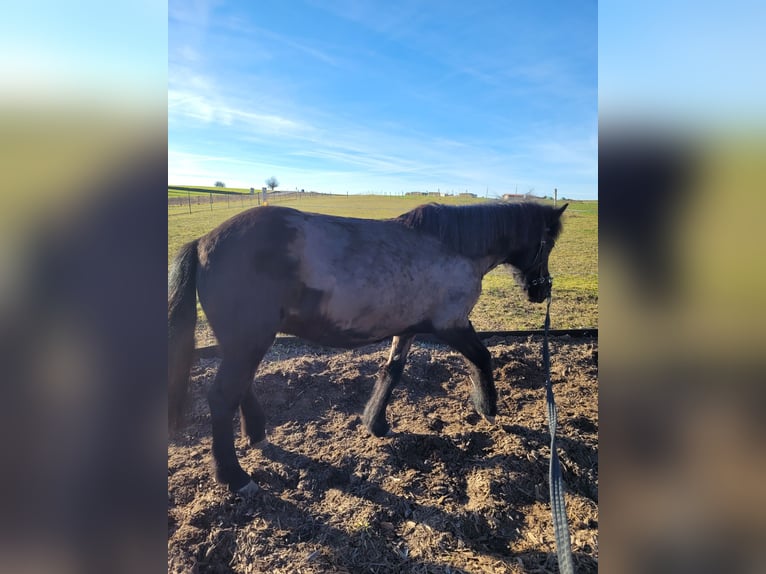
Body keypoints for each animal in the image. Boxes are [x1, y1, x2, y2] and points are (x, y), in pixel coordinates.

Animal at [168, 201, 567, 494]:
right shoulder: (451, 325)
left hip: (245, 342)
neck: (454, 248)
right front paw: (487, 407)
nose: (543, 290)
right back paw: (234, 477)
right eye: (547, 243)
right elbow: (482, 358)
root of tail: (203, 242)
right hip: (249, 340)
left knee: (240, 388)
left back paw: (256, 434)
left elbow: (392, 371)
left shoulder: (408, 329)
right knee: (223, 396)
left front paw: (375, 423)